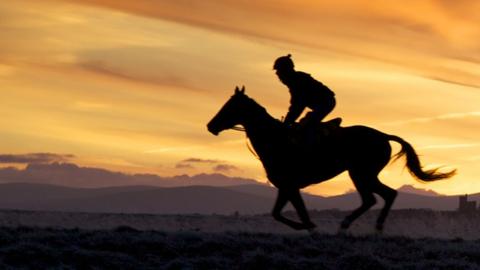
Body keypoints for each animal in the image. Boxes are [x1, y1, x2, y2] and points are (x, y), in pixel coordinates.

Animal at [206, 87, 454, 232]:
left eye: (230, 106)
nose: (210, 126)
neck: (275, 140)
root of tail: (383, 136)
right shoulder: (286, 186)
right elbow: (278, 213)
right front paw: (306, 226)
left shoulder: (289, 185)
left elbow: (292, 212)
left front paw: (308, 226)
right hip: (364, 174)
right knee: (384, 196)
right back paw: (372, 225)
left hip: (360, 173)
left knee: (376, 197)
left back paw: (351, 224)